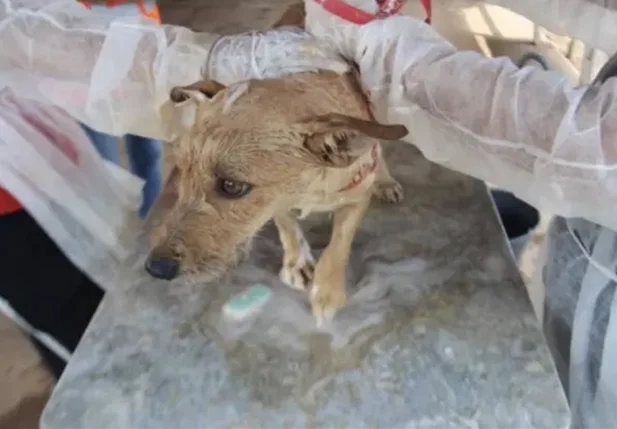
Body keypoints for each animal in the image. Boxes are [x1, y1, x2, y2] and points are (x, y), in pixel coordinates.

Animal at [142, 4, 406, 324]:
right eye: (182, 169)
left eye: (231, 185)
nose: (155, 268)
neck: (310, 186)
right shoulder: (276, 202)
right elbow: (285, 223)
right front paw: (296, 262)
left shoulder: (357, 196)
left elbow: (338, 245)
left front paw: (327, 292)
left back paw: (386, 181)